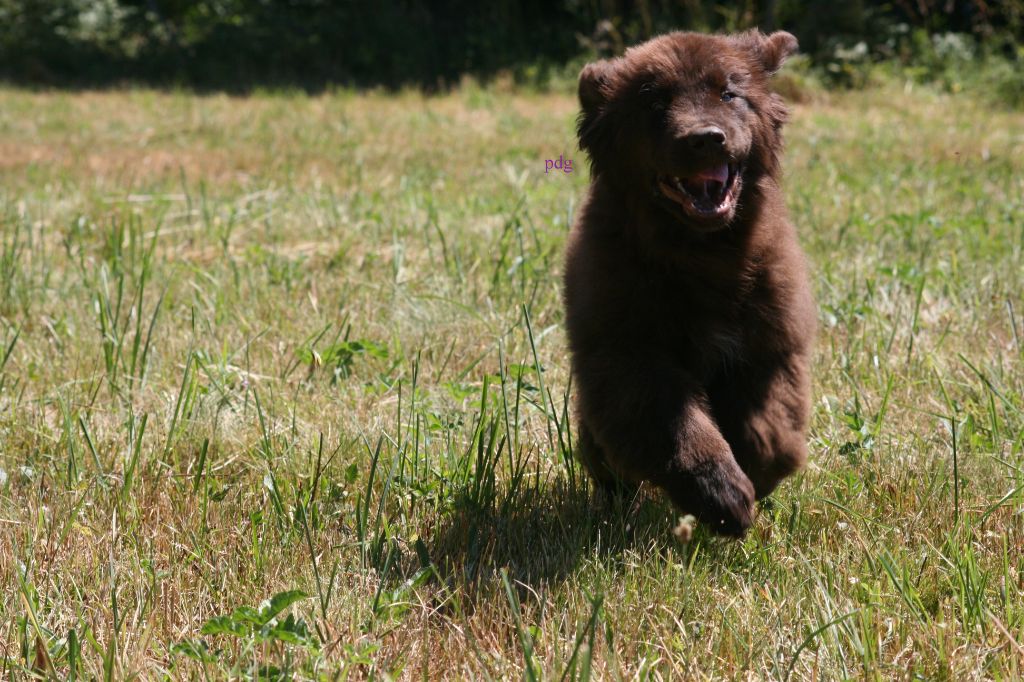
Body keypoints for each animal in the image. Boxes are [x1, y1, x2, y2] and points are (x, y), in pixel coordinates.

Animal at [565, 29, 811, 532]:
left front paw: (754, 475)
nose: (706, 139)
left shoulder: (771, 341)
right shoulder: (629, 353)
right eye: (654, 103)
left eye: (729, 93)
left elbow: (772, 423)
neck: (702, 254)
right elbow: (675, 424)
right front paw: (721, 494)